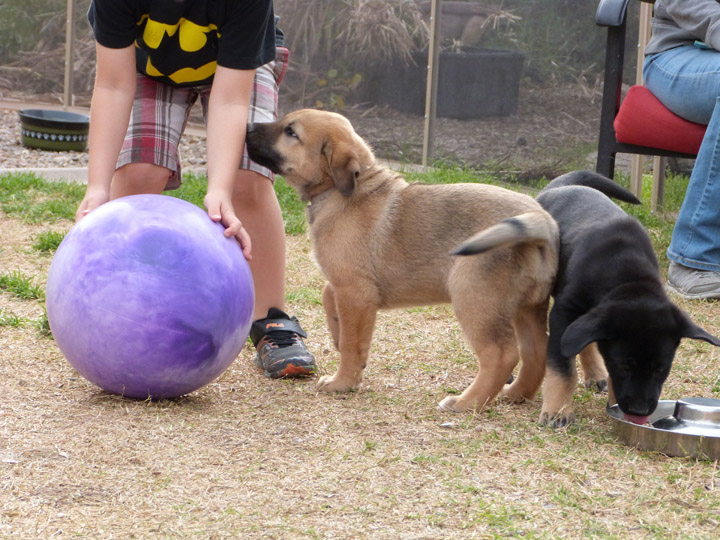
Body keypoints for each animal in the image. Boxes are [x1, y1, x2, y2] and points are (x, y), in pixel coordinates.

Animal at [249, 110, 564, 414]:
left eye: (291, 132)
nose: (249, 126)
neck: (347, 192)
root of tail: (541, 220)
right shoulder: (348, 283)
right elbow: (329, 297)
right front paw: (336, 332)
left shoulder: (356, 292)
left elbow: (352, 345)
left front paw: (342, 382)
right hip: (526, 306)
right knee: (536, 350)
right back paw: (515, 394)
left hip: (474, 298)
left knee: (501, 354)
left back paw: (467, 403)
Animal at [456, 171, 720, 428]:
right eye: (624, 366)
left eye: (661, 368)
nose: (639, 411)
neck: (627, 275)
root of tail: (561, 185)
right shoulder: (563, 312)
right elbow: (562, 367)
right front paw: (557, 412)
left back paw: (595, 373)